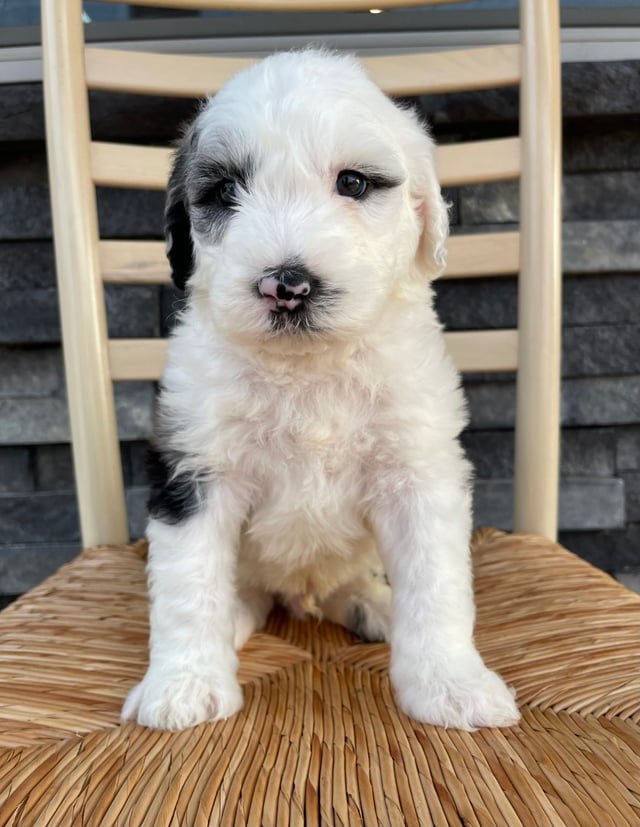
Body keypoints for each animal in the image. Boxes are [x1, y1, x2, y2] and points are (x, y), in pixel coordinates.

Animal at [122, 48, 524, 732]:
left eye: (354, 183)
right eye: (224, 191)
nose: (286, 285)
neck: (308, 369)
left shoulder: (418, 471)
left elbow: (437, 584)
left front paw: (450, 683)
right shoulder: (195, 467)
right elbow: (187, 583)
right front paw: (183, 683)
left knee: (347, 582)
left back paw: (374, 605)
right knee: (244, 588)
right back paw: (238, 616)